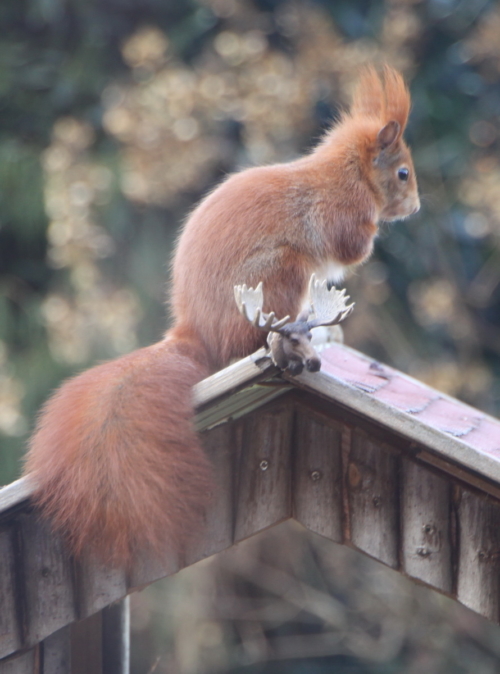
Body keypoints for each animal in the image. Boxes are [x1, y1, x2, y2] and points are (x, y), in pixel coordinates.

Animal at [25, 65, 420, 564]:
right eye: (403, 173)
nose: (416, 207)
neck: (345, 172)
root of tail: (195, 333)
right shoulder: (339, 211)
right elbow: (352, 246)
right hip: (281, 274)